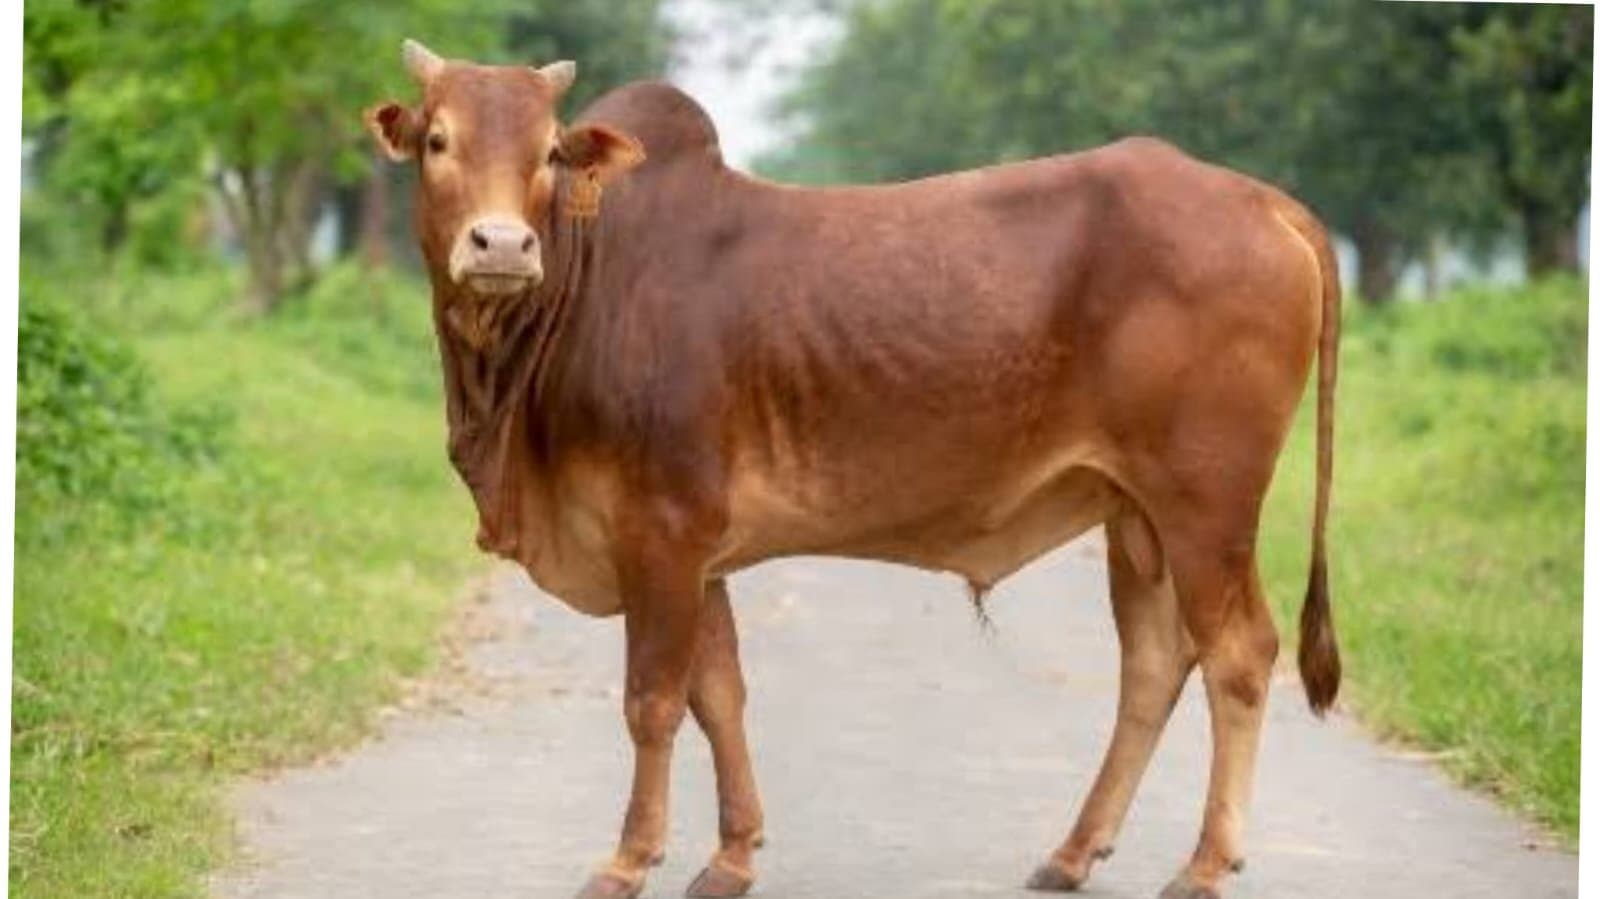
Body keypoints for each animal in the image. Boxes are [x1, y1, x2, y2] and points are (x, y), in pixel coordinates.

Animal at [364, 40, 1341, 899]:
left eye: (546, 152)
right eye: (440, 140)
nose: (501, 247)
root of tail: (1264, 201)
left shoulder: (663, 534)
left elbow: (654, 701)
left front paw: (629, 860)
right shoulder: (699, 551)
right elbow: (720, 693)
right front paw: (733, 855)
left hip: (1206, 506)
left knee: (1239, 656)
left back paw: (1205, 863)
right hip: (1134, 515)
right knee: (1153, 663)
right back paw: (1072, 851)